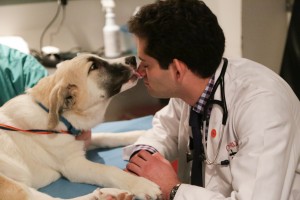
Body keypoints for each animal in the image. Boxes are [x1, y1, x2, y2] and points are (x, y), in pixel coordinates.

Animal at [0, 54, 162, 200]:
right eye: (93, 67)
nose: (133, 58)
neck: (60, 117)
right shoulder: (73, 165)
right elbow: (108, 170)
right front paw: (141, 184)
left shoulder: (81, 139)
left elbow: (106, 136)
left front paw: (138, 133)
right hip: (11, 184)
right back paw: (105, 195)